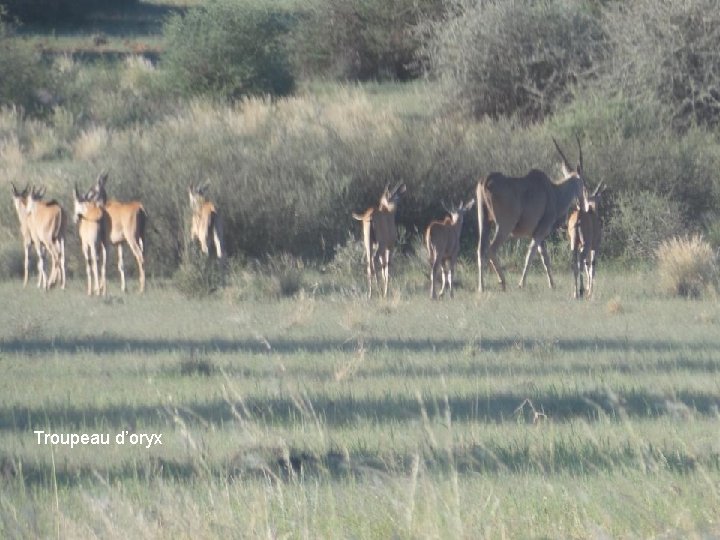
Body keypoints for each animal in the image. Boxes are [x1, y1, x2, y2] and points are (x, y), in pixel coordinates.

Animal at [476, 137, 588, 294]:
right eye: (583, 183)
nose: (583, 204)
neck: (554, 192)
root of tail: (485, 180)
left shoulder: (537, 234)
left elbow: (545, 258)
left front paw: (552, 284)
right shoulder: (540, 232)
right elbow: (531, 255)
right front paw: (521, 284)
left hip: (484, 222)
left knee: (480, 250)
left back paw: (481, 287)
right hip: (504, 226)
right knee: (491, 249)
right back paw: (502, 282)